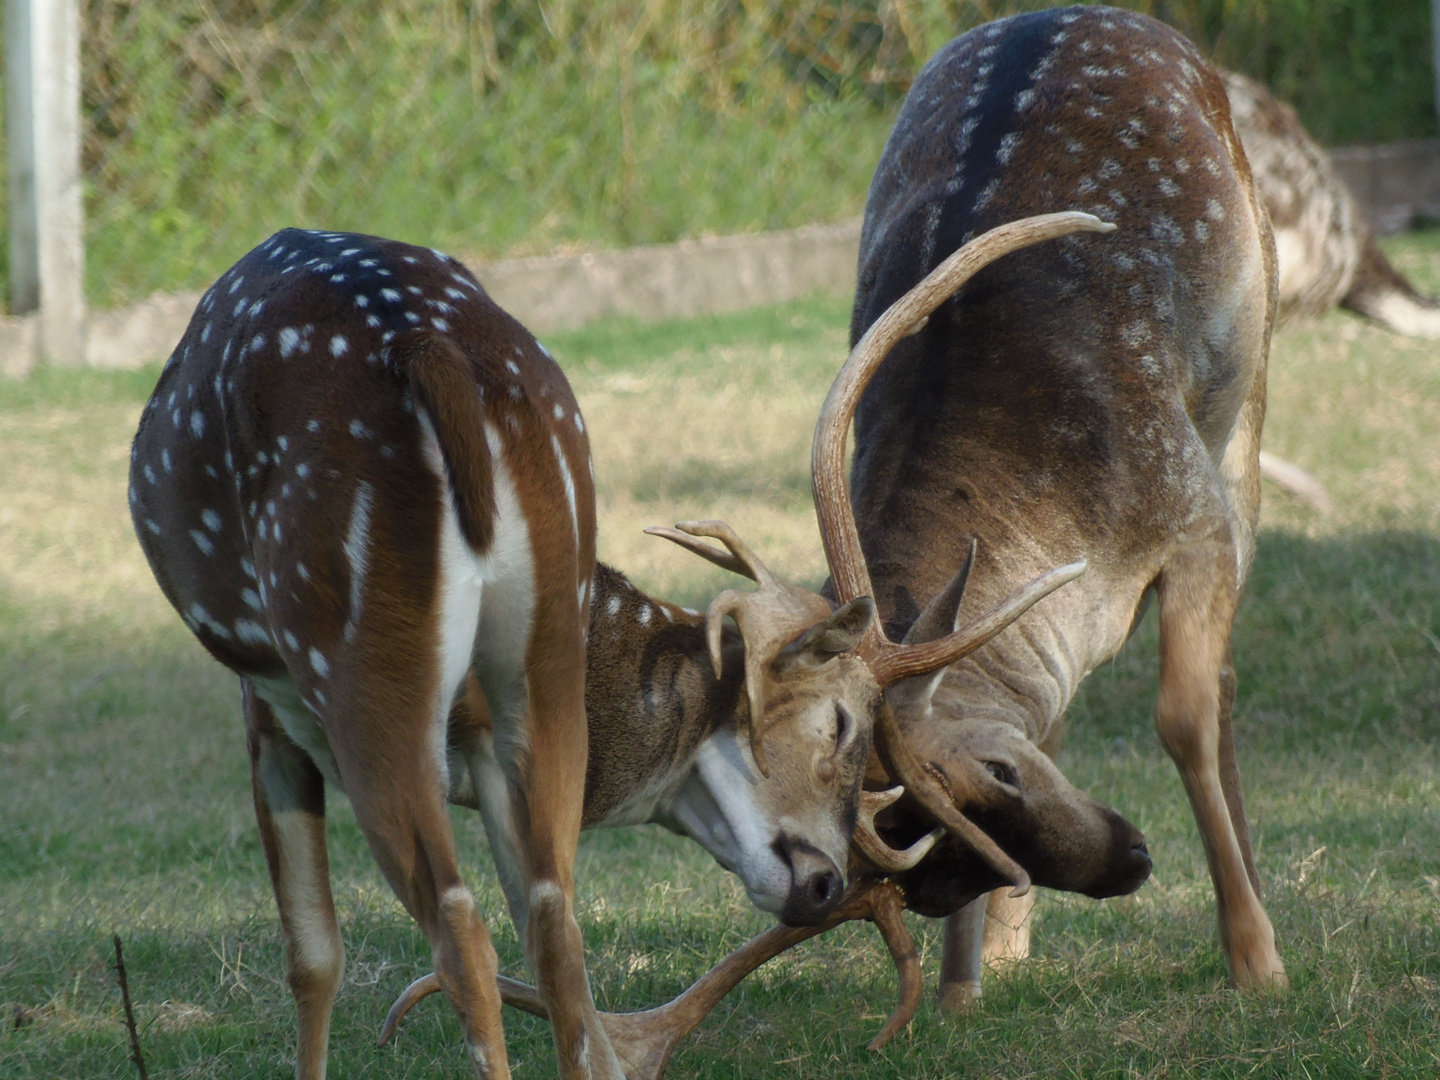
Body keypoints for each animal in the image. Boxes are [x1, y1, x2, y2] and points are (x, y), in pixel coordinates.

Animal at [129, 224, 1094, 1077]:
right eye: (840, 725)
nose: (826, 886)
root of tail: (428, 352)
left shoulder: (270, 709)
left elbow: (313, 954)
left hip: (354, 656)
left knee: (460, 928)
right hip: (537, 649)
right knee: (557, 922)